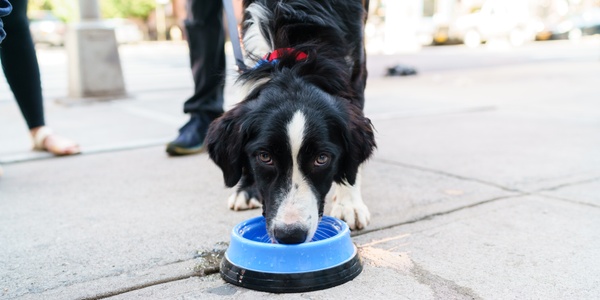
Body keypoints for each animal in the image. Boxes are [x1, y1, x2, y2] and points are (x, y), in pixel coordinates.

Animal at [206, 0, 376, 244]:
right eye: (264, 157)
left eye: (322, 159)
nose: (290, 235)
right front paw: (246, 188)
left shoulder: (355, 70)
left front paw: (349, 203)